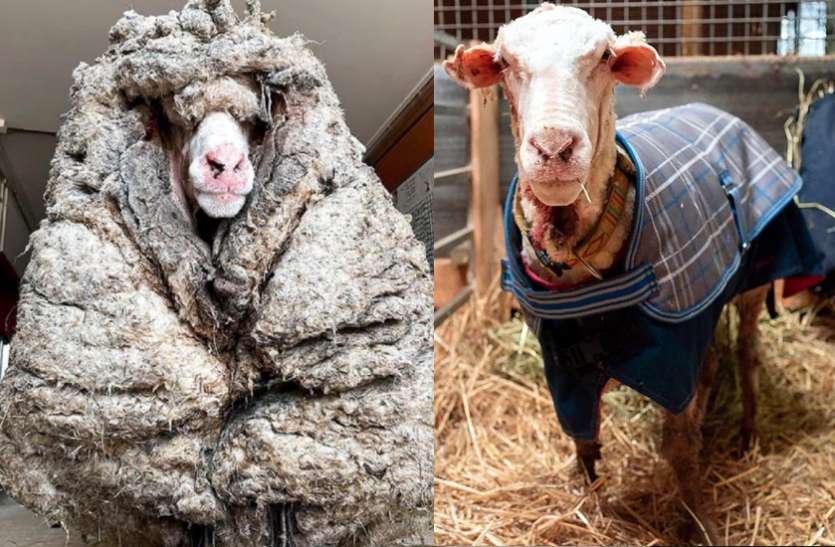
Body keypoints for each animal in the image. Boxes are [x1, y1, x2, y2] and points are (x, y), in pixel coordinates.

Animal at [445, 4, 818, 543]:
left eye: (604, 57)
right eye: (506, 62)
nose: (554, 148)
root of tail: (714, 110)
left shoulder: (672, 354)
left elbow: (678, 447)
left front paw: (698, 522)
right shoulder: (563, 362)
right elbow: (581, 435)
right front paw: (585, 496)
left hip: (755, 282)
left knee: (748, 353)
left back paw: (749, 431)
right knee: (712, 361)